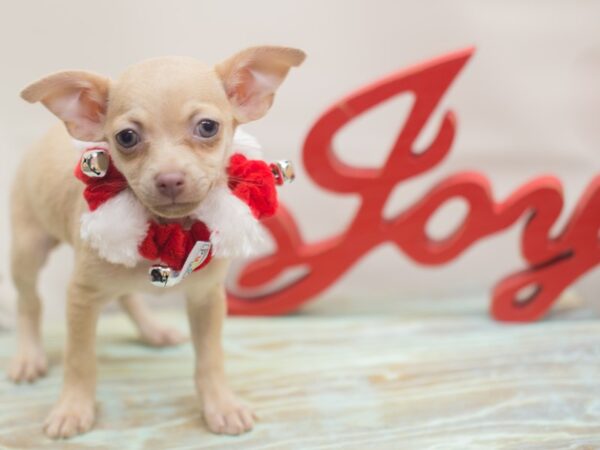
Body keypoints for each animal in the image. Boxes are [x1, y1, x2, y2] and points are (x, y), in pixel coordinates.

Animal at [10, 46, 304, 440]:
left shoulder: (207, 298)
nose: (169, 179)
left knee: (127, 295)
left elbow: (210, 358)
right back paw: (29, 356)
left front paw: (220, 404)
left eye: (208, 127)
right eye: (126, 137)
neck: (168, 231)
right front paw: (73, 407)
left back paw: (154, 330)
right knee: (30, 302)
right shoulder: (81, 298)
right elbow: (80, 360)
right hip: (27, 249)